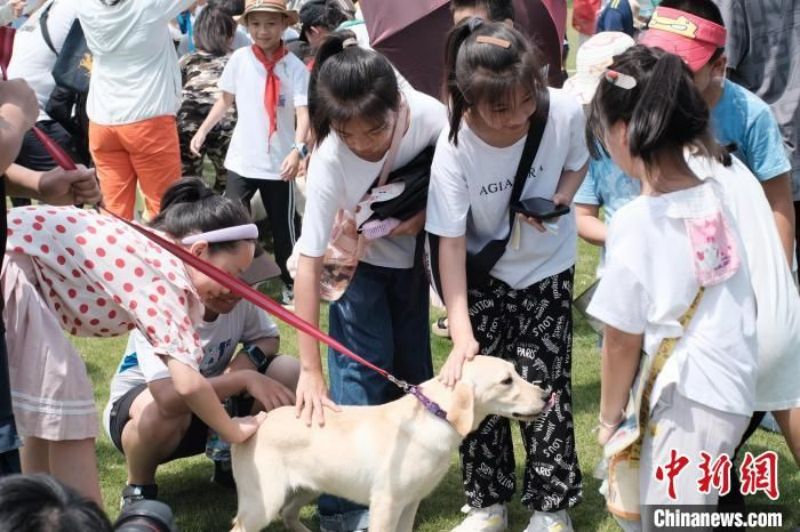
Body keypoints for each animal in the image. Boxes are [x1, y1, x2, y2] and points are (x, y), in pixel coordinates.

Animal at [228, 354, 548, 532]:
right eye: (506, 381)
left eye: (516, 372)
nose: (547, 396)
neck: (432, 416)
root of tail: (254, 421)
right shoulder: (386, 503)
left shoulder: (410, 503)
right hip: (264, 500)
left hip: (309, 487)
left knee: (288, 514)